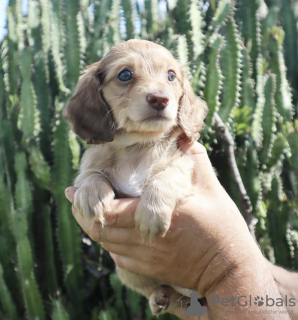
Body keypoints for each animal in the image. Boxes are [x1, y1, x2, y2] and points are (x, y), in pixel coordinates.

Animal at [62, 39, 207, 316]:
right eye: (125, 75)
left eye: (171, 75)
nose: (160, 99)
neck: (138, 147)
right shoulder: (89, 166)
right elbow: (91, 175)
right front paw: (92, 195)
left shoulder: (185, 165)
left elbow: (165, 176)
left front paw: (152, 213)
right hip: (127, 272)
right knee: (152, 288)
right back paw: (159, 297)